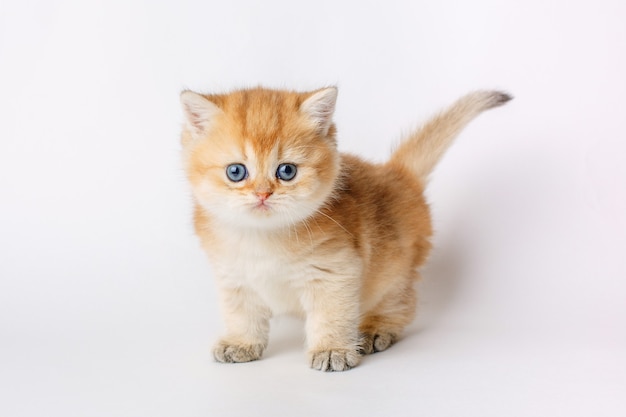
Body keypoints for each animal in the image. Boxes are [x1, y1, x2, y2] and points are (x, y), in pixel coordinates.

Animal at [178, 85, 510, 370]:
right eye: (236, 172)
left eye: (286, 171)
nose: (263, 194)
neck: (263, 237)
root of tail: (397, 176)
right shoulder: (234, 278)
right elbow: (241, 315)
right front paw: (242, 343)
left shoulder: (336, 272)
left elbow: (331, 315)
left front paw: (331, 349)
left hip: (392, 274)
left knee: (402, 304)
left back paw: (376, 329)